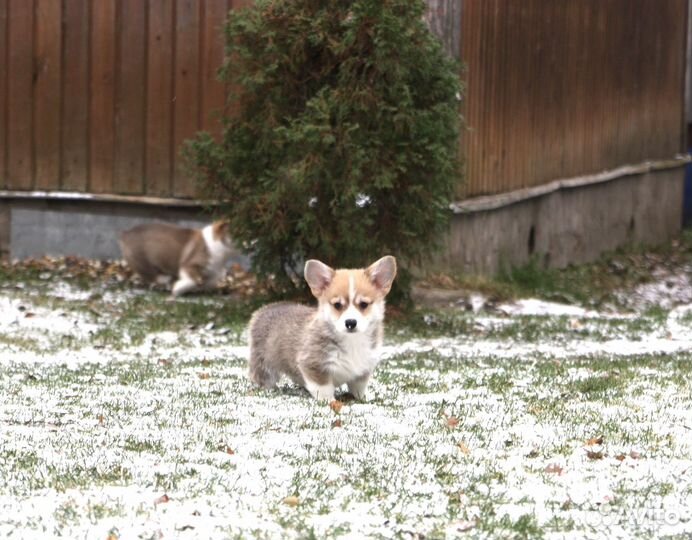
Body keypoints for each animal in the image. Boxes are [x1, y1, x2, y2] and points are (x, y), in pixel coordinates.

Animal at [249, 254, 398, 400]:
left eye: (363, 304)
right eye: (337, 305)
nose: (350, 322)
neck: (352, 341)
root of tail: (265, 308)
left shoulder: (364, 368)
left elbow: (359, 387)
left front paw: (363, 398)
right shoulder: (313, 365)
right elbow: (324, 388)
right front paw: (330, 402)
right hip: (264, 363)